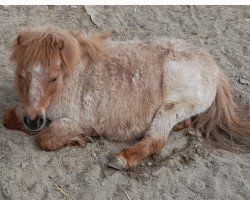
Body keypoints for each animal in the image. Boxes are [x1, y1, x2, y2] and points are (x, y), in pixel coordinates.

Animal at [2, 25, 250, 170]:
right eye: (21, 75)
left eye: (53, 77)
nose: (33, 121)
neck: (72, 78)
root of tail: (215, 68)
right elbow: (8, 117)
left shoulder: (78, 119)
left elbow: (46, 138)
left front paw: (81, 137)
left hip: (173, 105)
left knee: (156, 139)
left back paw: (121, 159)